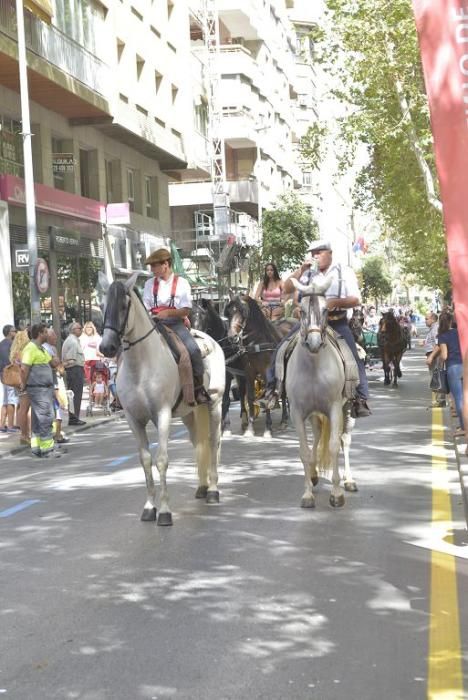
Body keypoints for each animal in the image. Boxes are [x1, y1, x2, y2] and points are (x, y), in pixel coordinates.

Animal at [98, 274, 225, 524]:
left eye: (124, 306)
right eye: (103, 305)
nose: (107, 347)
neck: (140, 366)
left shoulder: (162, 414)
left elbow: (162, 460)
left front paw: (165, 511)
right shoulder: (134, 419)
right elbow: (146, 460)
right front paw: (149, 507)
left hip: (214, 403)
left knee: (213, 441)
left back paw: (213, 491)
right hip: (189, 412)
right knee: (198, 442)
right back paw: (202, 487)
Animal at [286, 274, 358, 508]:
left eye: (326, 309)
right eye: (301, 310)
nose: (314, 343)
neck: (314, 367)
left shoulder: (334, 408)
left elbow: (335, 445)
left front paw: (336, 493)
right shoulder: (297, 412)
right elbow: (304, 451)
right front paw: (307, 493)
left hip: (347, 408)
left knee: (345, 440)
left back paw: (348, 480)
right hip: (313, 414)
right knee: (317, 436)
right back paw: (314, 473)